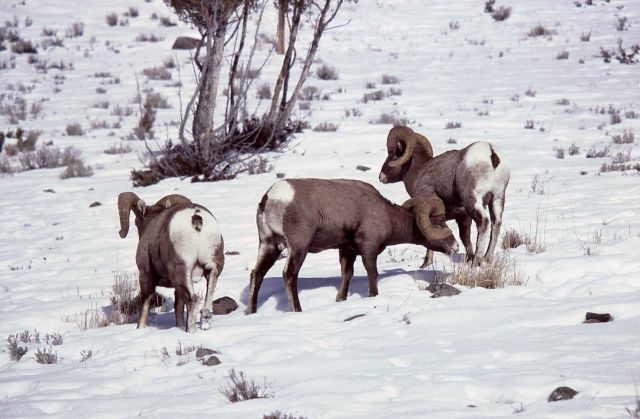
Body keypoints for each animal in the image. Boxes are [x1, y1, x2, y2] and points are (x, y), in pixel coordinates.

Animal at [117, 192, 225, 334]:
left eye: (136, 222)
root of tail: (196, 218)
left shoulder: (145, 276)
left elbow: (144, 307)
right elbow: (178, 308)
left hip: (181, 271)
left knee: (193, 301)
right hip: (213, 265)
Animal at [246, 179, 460, 314]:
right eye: (441, 223)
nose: (455, 246)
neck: (386, 215)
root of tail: (271, 198)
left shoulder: (346, 252)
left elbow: (346, 275)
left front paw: (340, 300)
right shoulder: (368, 250)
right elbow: (372, 274)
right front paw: (373, 296)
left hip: (269, 245)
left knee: (257, 274)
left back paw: (251, 312)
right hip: (298, 247)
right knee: (289, 275)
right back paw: (297, 310)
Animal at [380, 126, 510, 268]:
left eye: (394, 154)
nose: (381, 177)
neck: (418, 172)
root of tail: (491, 153)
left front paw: (426, 264)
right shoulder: (463, 216)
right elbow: (465, 238)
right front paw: (468, 258)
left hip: (473, 200)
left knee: (484, 223)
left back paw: (477, 262)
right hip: (497, 198)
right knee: (496, 224)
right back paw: (487, 258)